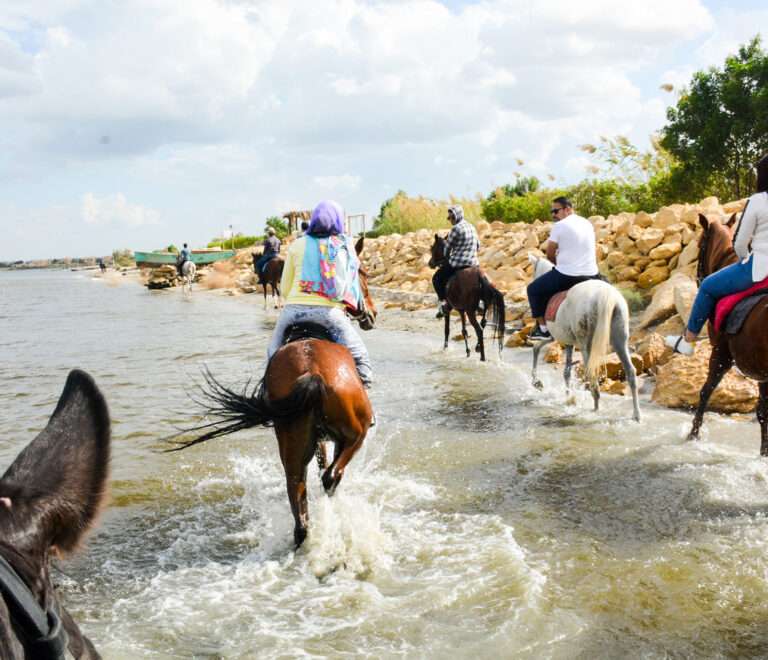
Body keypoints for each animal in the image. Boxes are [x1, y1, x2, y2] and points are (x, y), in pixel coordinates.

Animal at [172, 237, 376, 548]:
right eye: (361, 274)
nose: (372, 314)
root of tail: (312, 372)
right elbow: (329, 470)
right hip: (356, 433)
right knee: (331, 478)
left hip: (292, 448)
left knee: (300, 510)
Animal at [532, 255, 640, 420]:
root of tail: (605, 295)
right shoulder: (567, 342)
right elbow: (566, 372)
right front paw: (568, 398)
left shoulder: (553, 337)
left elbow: (536, 348)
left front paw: (536, 382)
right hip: (620, 340)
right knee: (630, 372)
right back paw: (636, 415)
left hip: (586, 344)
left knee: (592, 374)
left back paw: (595, 409)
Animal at [688, 214, 768, 456]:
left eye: (699, 245)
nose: (698, 279)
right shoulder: (761, 372)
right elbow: (763, 413)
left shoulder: (721, 354)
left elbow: (705, 392)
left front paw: (693, 435)